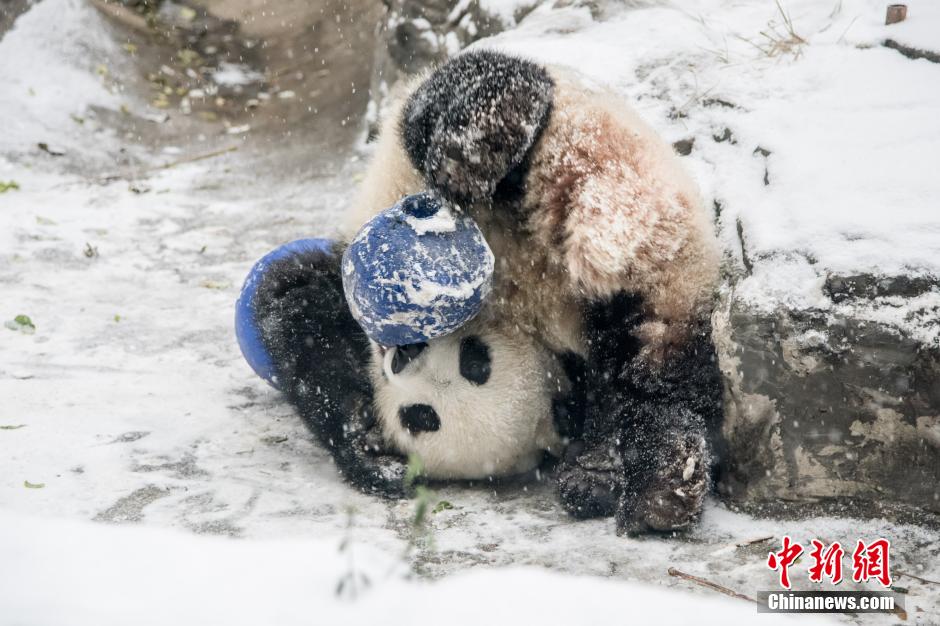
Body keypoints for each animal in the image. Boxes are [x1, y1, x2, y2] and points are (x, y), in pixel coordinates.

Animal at [252, 51, 728, 532]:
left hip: (654, 264)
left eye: (475, 362)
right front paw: (366, 441)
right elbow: (298, 313)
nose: (405, 355)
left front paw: (596, 475)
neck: (512, 319)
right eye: (420, 416)